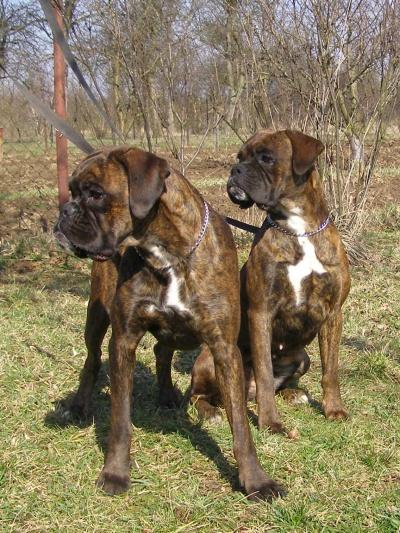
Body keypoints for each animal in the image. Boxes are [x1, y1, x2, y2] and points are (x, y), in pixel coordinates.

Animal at [53, 146, 285, 500]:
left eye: (96, 194)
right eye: (73, 192)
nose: (65, 210)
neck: (168, 255)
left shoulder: (224, 349)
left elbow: (241, 426)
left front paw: (255, 480)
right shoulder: (123, 341)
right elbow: (120, 421)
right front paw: (115, 473)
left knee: (162, 353)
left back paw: (166, 396)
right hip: (96, 317)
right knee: (92, 361)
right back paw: (79, 406)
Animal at [190, 130, 350, 432]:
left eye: (266, 158)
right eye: (239, 157)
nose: (236, 170)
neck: (299, 229)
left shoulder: (333, 314)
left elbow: (332, 370)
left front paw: (333, 409)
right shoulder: (261, 312)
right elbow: (264, 372)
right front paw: (270, 422)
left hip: (303, 358)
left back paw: (293, 393)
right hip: (214, 360)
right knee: (201, 395)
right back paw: (212, 412)